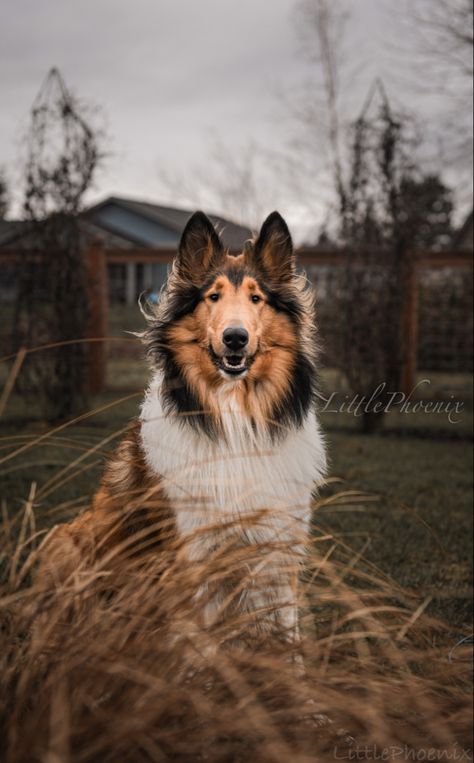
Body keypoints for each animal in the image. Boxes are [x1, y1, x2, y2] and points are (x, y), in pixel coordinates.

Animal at [38, 210, 326, 652]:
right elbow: (200, 646)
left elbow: (287, 636)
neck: (233, 420)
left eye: (256, 298)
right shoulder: (192, 551)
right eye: (213, 297)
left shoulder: (277, 548)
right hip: (62, 542)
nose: (235, 338)